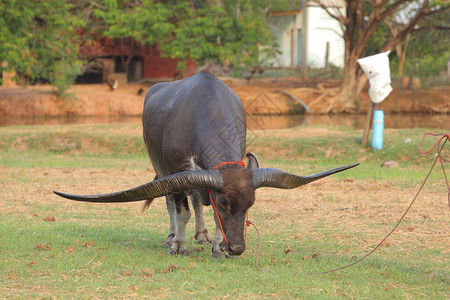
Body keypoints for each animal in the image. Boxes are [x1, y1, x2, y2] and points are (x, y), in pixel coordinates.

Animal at [53, 72, 358, 258]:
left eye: (251, 204)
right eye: (225, 202)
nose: (237, 248)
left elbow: (206, 209)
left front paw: (217, 246)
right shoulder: (174, 172)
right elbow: (182, 211)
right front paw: (178, 245)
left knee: (197, 200)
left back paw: (201, 235)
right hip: (160, 169)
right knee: (172, 203)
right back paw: (172, 236)